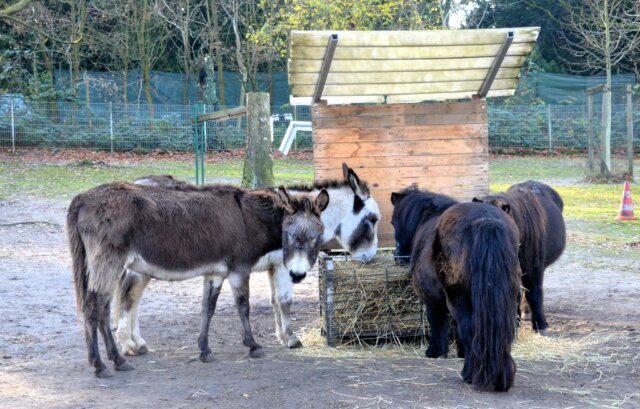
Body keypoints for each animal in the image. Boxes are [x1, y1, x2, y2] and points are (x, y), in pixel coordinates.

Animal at [67, 181, 328, 376]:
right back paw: (102, 364)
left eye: (317, 235)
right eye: (289, 233)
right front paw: (254, 345)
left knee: (104, 308)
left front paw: (204, 350)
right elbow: (244, 307)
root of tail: (83, 197)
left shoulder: (215, 273)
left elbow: (207, 309)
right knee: (94, 307)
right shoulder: (239, 270)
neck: (249, 217)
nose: (297, 274)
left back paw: (116, 359)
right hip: (109, 262)